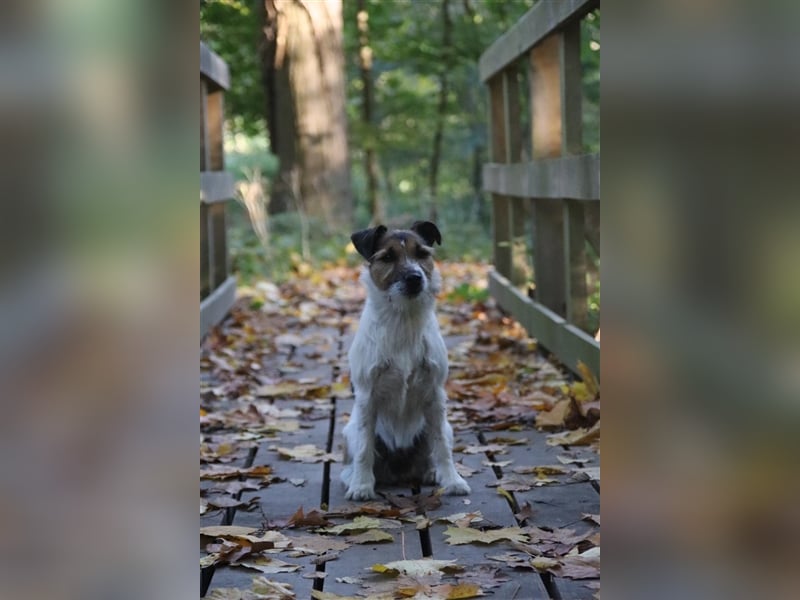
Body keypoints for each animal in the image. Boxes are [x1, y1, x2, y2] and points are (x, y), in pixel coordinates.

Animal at [340, 220, 472, 502]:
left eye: (422, 254)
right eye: (388, 257)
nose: (414, 278)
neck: (403, 320)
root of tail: (400, 471)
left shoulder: (435, 395)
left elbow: (442, 448)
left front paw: (452, 480)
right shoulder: (367, 397)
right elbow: (365, 450)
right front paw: (361, 486)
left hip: (444, 426)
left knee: (434, 448)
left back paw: (433, 472)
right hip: (351, 431)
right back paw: (353, 478)